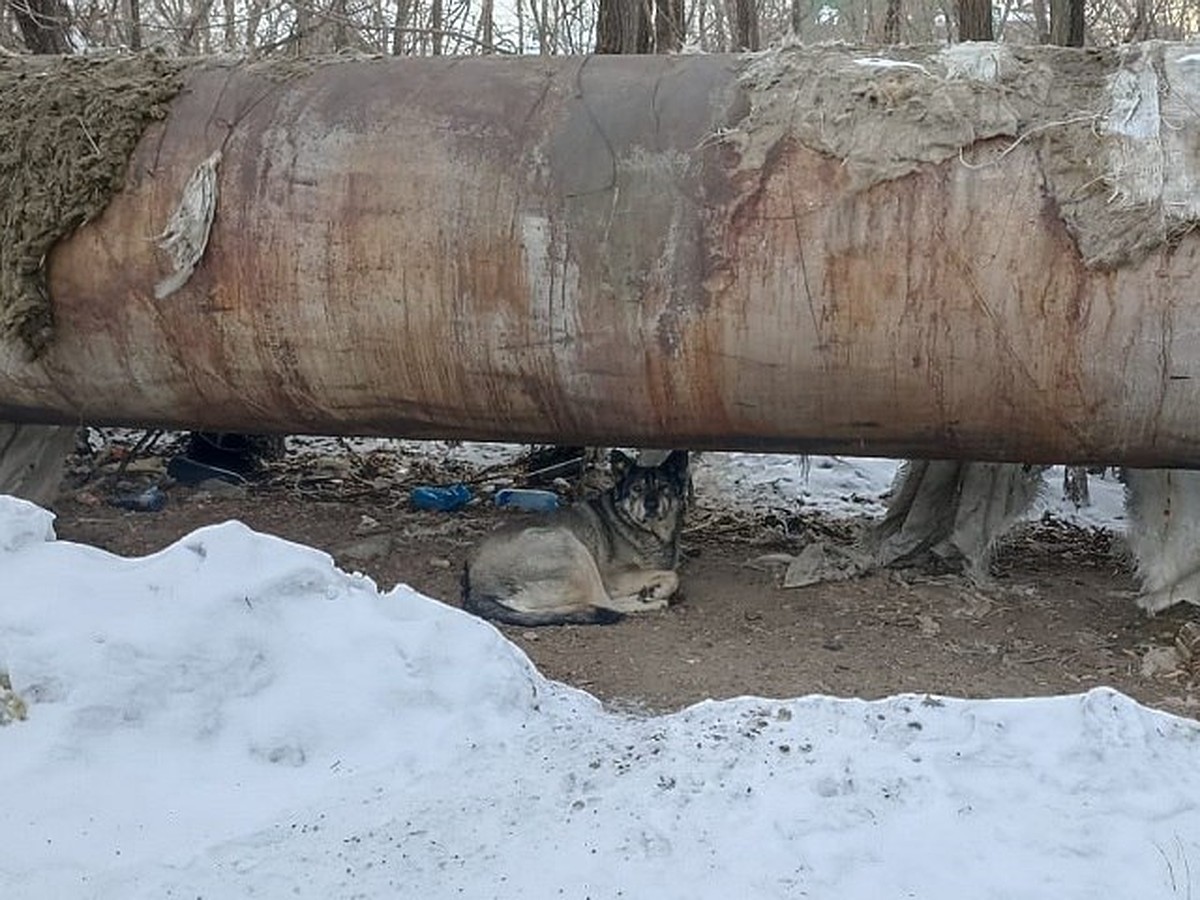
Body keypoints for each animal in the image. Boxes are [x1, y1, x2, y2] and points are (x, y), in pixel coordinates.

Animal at [460, 451, 691, 628]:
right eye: (637, 489)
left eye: (663, 487)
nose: (651, 505)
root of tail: (475, 583)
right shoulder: (615, 576)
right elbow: (674, 576)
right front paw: (655, 591)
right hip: (572, 549)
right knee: (604, 602)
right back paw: (650, 601)